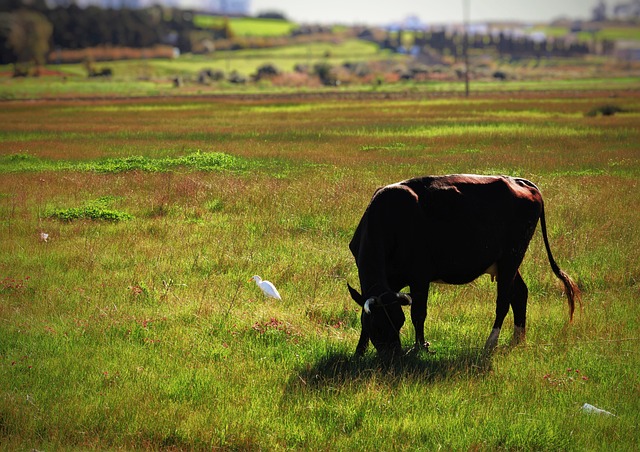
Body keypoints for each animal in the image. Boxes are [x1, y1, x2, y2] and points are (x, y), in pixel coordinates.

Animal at [348, 174, 580, 357]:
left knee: (504, 301)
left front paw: (420, 347)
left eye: (398, 322)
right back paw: (517, 340)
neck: (389, 219)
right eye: (377, 327)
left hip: (512, 256)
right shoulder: (393, 281)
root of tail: (520, 181)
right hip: (507, 263)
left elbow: (418, 313)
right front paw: (359, 351)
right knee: (520, 293)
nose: (394, 356)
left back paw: (491, 343)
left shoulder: (420, 276)